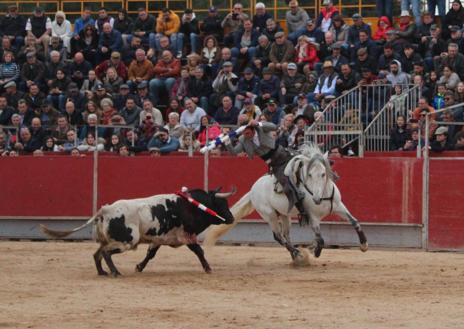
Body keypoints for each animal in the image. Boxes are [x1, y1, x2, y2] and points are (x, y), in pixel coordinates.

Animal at [40, 187, 236, 276]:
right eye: (220, 204)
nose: (231, 218)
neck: (191, 206)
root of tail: (105, 210)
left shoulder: (159, 238)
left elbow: (150, 254)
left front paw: (139, 267)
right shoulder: (185, 236)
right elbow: (199, 251)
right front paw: (208, 268)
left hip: (112, 240)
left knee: (97, 254)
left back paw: (103, 272)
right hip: (128, 241)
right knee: (106, 253)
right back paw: (115, 272)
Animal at [205, 145, 368, 260]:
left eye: (323, 174)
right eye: (309, 174)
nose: (316, 199)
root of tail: (253, 190)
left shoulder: (339, 206)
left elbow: (355, 222)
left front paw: (364, 245)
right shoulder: (313, 217)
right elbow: (320, 239)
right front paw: (314, 251)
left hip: (284, 215)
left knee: (286, 235)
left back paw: (295, 255)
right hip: (269, 215)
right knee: (278, 236)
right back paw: (297, 253)